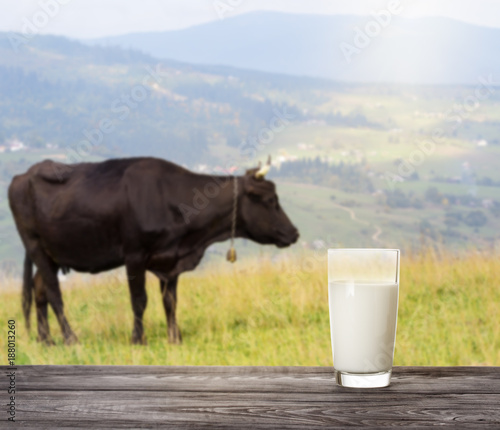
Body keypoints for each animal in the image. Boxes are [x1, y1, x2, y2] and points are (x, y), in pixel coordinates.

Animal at [7, 156, 298, 344]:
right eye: (270, 200)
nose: (294, 233)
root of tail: (24, 175)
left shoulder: (171, 260)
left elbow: (170, 301)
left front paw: (175, 338)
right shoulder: (134, 255)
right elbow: (139, 300)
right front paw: (138, 339)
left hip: (53, 253)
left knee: (39, 290)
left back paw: (45, 340)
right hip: (35, 245)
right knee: (54, 294)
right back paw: (70, 338)